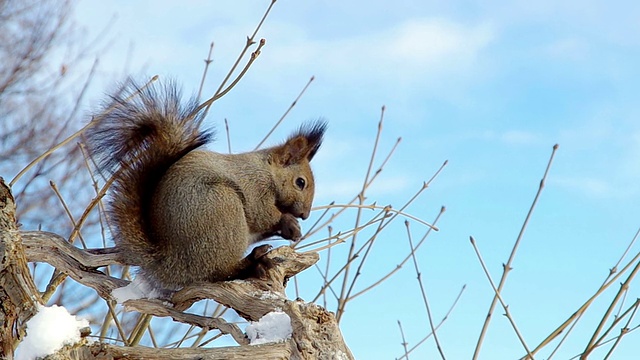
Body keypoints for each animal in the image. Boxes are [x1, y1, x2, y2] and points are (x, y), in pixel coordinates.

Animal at [85, 81, 324, 290]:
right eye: (300, 182)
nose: (304, 215)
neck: (267, 170)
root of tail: (171, 263)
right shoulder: (254, 186)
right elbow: (262, 214)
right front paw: (289, 222)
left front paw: (293, 231)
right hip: (223, 208)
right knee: (219, 270)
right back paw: (252, 263)